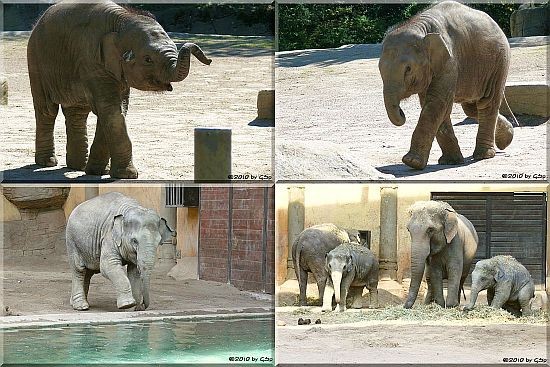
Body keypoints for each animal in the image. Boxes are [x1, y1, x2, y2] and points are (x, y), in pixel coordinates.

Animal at [27, 1, 213, 180]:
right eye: (148, 59)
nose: (209, 60)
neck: (121, 19)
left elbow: (116, 110)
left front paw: (98, 172)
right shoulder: (91, 61)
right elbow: (110, 110)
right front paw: (127, 175)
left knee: (77, 113)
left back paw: (78, 166)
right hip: (35, 61)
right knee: (47, 111)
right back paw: (47, 162)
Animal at [380, 0, 516, 170]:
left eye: (408, 69)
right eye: (379, 68)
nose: (402, 113)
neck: (419, 27)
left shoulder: (450, 61)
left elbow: (437, 103)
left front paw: (411, 162)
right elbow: (435, 106)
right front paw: (450, 161)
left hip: (499, 63)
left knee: (487, 104)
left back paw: (484, 155)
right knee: (471, 108)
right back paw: (507, 139)